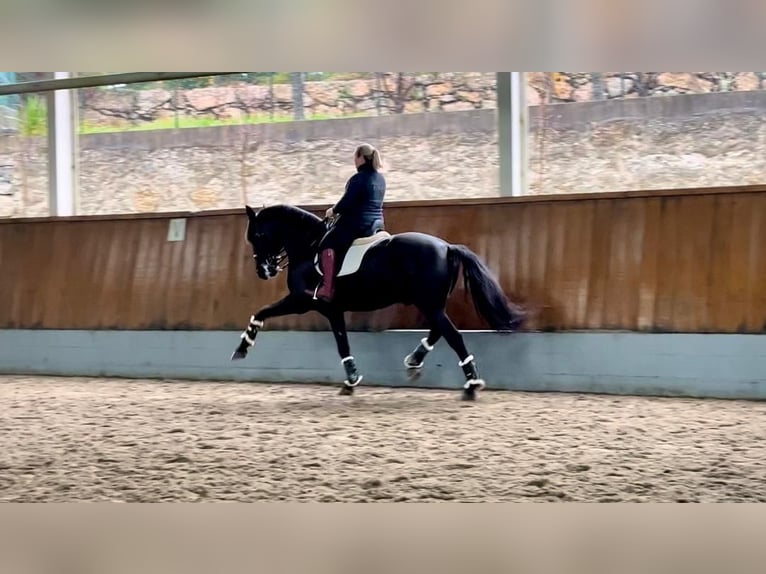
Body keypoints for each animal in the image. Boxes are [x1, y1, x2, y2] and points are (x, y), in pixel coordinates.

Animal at [230, 205, 528, 402]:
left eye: (257, 236)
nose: (263, 271)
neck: (308, 246)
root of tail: (447, 247)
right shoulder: (332, 309)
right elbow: (342, 344)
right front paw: (351, 381)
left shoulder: (302, 301)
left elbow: (261, 312)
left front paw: (242, 348)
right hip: (432, 304)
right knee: (439, 331)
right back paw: (415, 360)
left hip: (429, 304)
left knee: (452, 335)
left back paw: (471, 385)